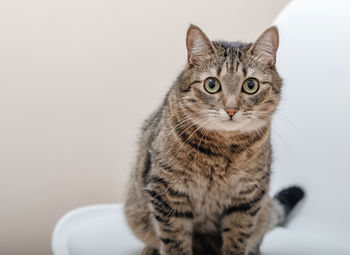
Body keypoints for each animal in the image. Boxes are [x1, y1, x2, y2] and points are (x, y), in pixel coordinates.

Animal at [124, 24, 304, 255]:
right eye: (212, 84)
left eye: (251, 85)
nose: (231, 109)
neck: (222, 152)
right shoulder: (168, 192)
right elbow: (175, 243)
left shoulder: (247, 197)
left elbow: (237, 239)